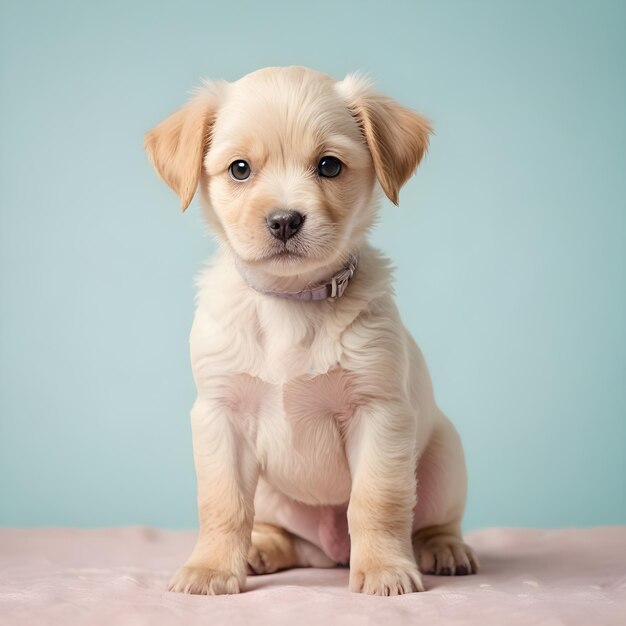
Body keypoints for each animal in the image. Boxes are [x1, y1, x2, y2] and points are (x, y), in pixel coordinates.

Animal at [146, 64, 476, 596]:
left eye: (329, 166)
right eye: (240, 169)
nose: (284, 221)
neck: (290, 304)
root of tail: (332, 552)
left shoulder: (378, 413)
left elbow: (377, 502)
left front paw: (383, 569)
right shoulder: (220, 417)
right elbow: (222, 505)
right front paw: (213, 568)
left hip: (445, 459)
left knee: (430, 521)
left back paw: (442, 548)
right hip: (274, 497)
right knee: (281, 533)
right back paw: (263, 548)